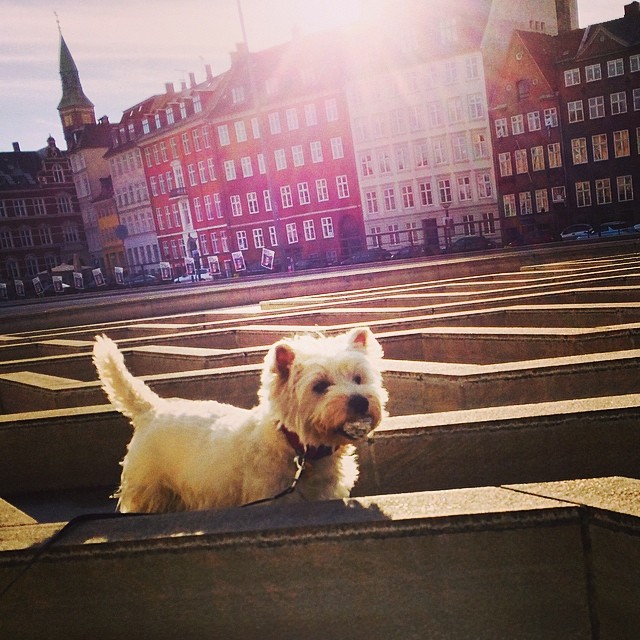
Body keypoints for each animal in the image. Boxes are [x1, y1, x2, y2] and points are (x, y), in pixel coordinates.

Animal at [92, 328, 388, 512]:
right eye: (320, 386)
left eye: (358, 378)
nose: (360, 401)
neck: (297, 447)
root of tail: (151, 409)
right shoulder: (267, 497)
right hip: (150, 488)